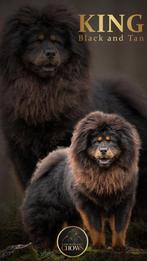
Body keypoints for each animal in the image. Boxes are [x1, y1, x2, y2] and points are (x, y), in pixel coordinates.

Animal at [21, 110, 140, 249]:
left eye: (111, 141)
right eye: (96, 142)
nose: (103, 150)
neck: (105, 175)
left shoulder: (123, 202)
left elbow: (119, 228)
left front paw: (119, 247)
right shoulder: (88, 203)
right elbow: (96, 227)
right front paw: (99, 245)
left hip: (70, 214)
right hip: (45, 213)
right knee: (41, 231)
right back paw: (43, 249)